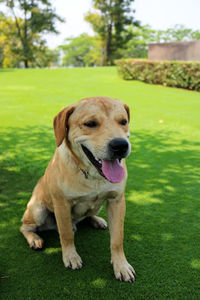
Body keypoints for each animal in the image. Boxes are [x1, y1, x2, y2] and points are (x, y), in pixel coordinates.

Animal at [19, 97, 136, 282]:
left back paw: (96, 220)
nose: (120, 145)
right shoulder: (61, 204)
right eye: (90, 123)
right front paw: (70, 257)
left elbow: (117, 239)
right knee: (25, 227)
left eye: (123, 122)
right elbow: (66, 234)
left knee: (87, 215)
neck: (93, 176)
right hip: (37, 210)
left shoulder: (117, 201)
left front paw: (121, 265)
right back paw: (34, 239)